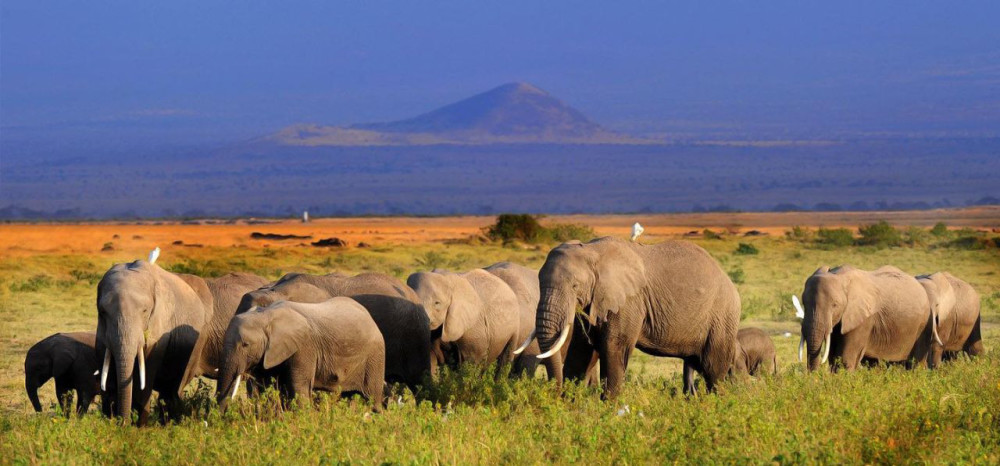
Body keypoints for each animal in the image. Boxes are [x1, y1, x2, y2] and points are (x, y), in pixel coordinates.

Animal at [94, 260, 214, 424]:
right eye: (102, 312)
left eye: (145, 311)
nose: (123, 423)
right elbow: (107, 369)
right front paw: (111, 421)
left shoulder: (159, 325)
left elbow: (146, 374)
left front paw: (139, 426)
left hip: (198, 341)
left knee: (175, 386)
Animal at [217, 298, 384, 412]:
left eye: (245, 344)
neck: (266, 315)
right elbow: (267, 387)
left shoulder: (304, 347)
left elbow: (299, 387)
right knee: (349, 396)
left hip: (375, 357)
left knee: (372, 400)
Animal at [528, 238, 740, 398]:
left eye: (574, 286)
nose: (555, 394)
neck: (591, 250)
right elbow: (581, 349)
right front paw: (570, 406)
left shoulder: (628, 301)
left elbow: (613, 347)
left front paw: (610, 410)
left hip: (722, 317)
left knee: (713, 371)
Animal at [796, 266, 936, 372]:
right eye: (804, 303)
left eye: (835, 305)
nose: (813, 377)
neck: (840, 276)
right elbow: (833, 357)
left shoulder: (863, 319)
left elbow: (845, 358)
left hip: (923, 326)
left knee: (915, 364)